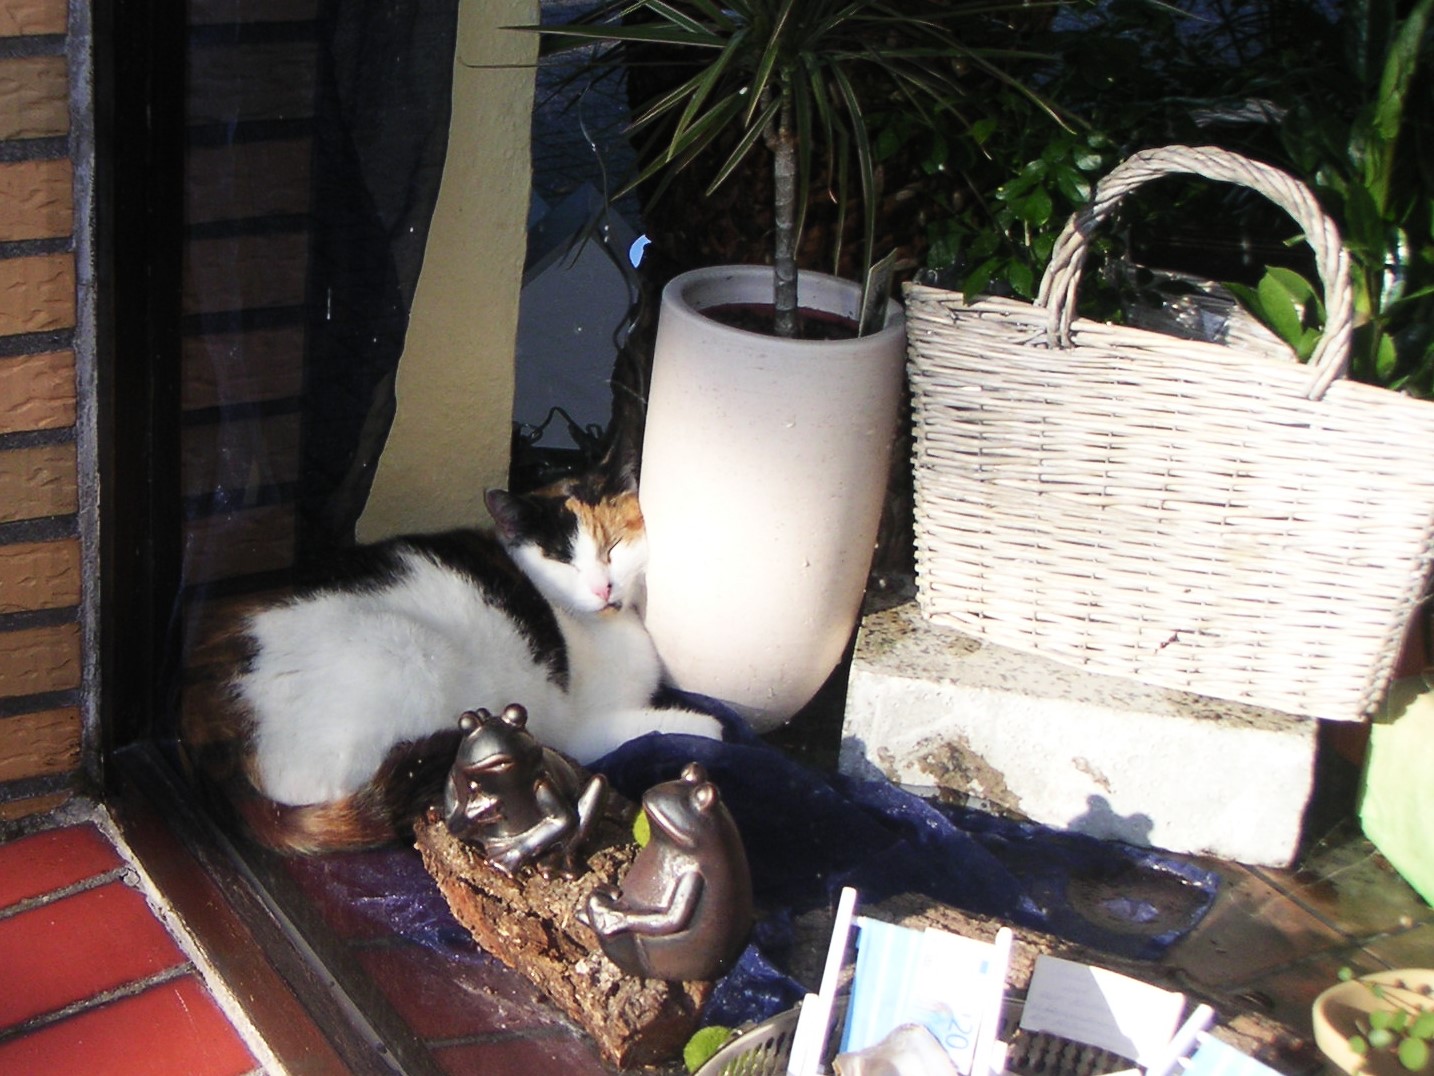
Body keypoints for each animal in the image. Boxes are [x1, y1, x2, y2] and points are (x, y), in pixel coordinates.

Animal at [219, 459, 722, 855]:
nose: (604, 588)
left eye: (614, 546)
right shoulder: (581, 728)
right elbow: (660, 729)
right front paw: (709, 730)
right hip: (409, 655)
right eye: (564, 562)